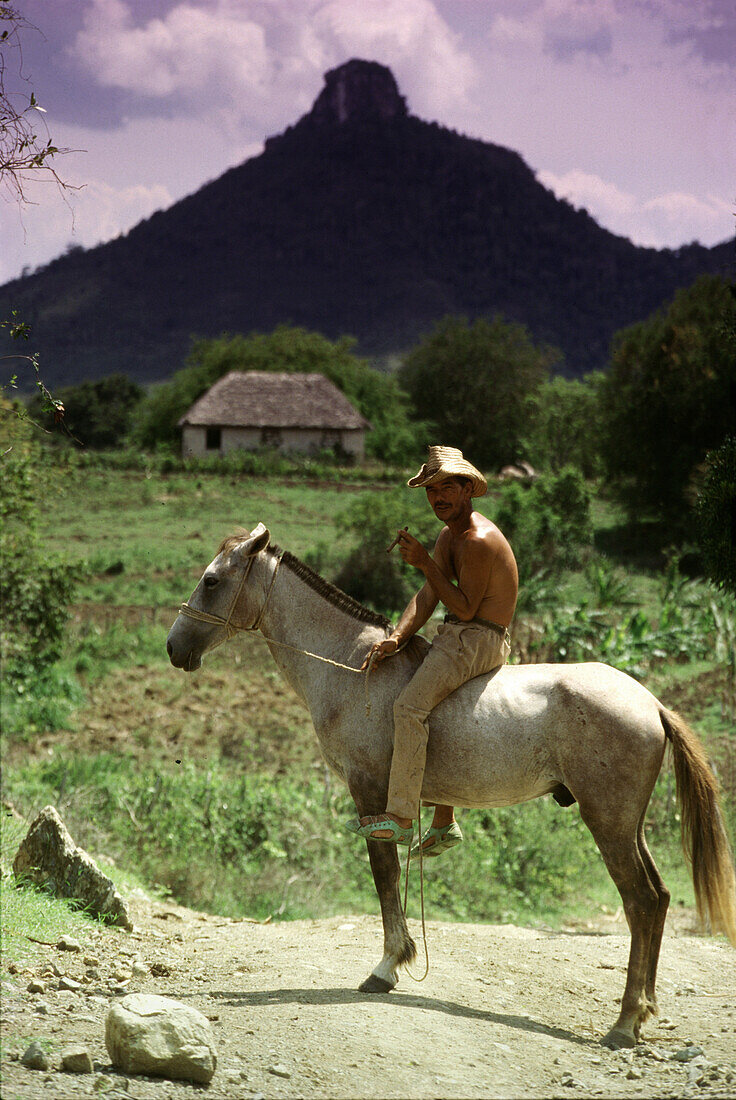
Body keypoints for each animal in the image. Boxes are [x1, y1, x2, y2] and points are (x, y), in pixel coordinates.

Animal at [166, 523, 734, 1047]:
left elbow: (384, 875)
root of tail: (650, 703)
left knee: (640, 902)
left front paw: (387, 966)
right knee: (660, 899)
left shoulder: (370, 795)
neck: (354, 667)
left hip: (608, 823)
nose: (173, 647)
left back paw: (623, 1021)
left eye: (211, 581)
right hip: (628, 825)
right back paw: (642, 1012)